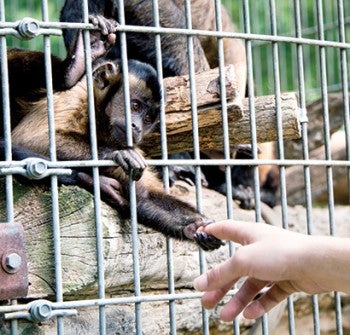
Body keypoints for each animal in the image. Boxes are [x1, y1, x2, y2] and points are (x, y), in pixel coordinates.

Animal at [0, 16, 223, 252]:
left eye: (147, 119)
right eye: (135, 106)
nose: (137, 127)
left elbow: (145, 196)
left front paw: (197, 226)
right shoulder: (76, 96)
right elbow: (31, 138)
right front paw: (116, 154)